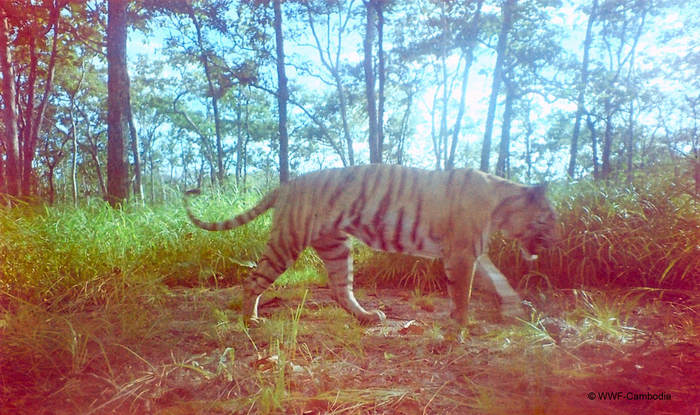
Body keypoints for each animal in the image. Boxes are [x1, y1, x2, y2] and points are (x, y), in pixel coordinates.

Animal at [185, 164, 556, 326]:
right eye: (550, 217)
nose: (557, 239)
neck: (503, 204)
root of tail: (286, 184)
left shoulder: (474, 253)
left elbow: (499, 282)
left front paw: (514, 309)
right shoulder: (462, 253)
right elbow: (462, 292)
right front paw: (462, 325)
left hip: (337, 248)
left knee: (340, 289)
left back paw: (366, 317)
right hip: (287, 242)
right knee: (253, 280)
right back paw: (251, 320)